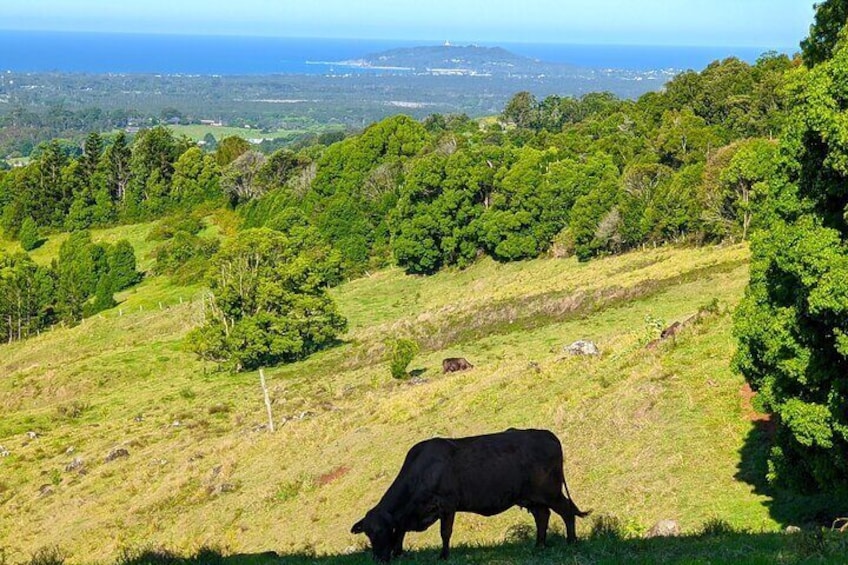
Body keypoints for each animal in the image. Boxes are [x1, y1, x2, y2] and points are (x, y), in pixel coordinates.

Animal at [352, 428, 588, 560]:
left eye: (382, 531)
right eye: (369, 533)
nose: (378, 558)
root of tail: (547, 434)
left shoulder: (447, 505)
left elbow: (445, 533)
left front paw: (443, 556)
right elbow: (401, 532)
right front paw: (399, 552)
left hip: (551, 492)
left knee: (566, 511)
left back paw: (571, 541)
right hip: (532, 498)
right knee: (543, 516)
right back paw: (539, 545)